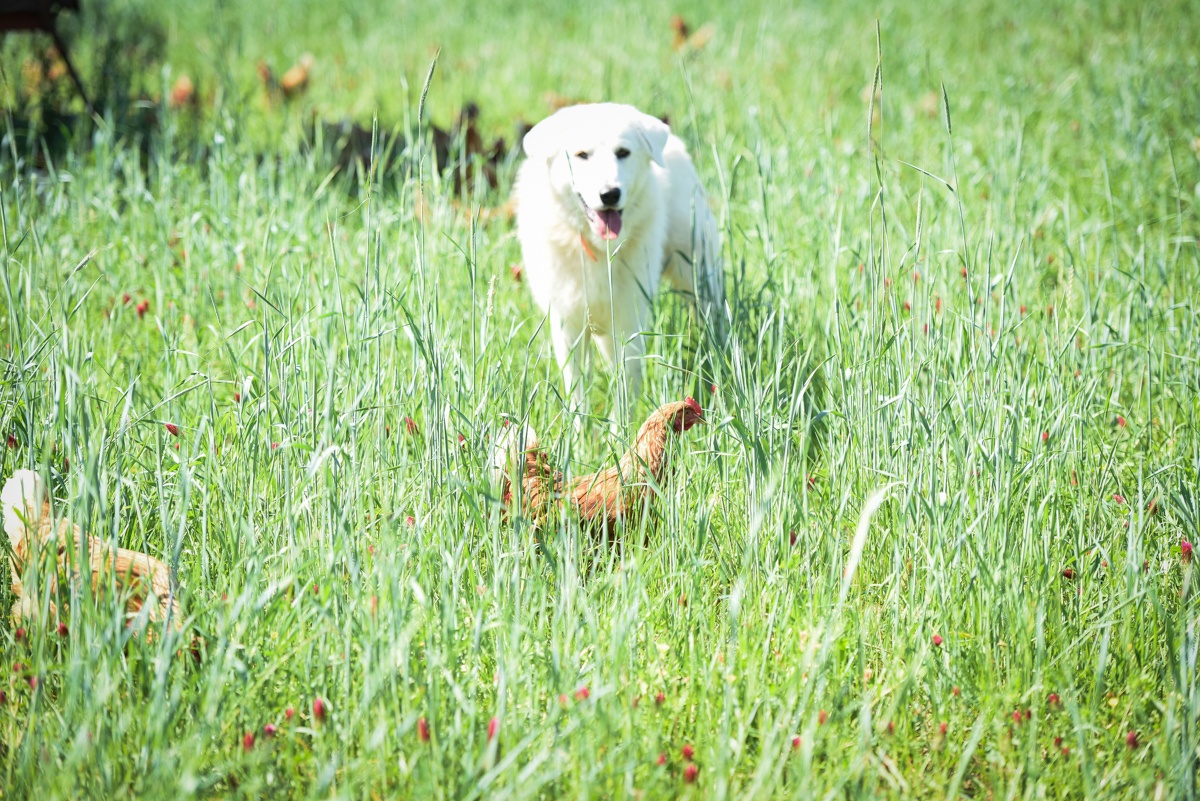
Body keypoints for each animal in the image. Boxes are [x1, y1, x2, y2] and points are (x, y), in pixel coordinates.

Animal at [513, 101, 724, 419]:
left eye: (623, 152)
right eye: (581, 154)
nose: (609, 194)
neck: (598, 250)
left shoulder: (628, 322)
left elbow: (625, 390)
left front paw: (620, 430)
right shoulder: (567, 326)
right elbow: (577, 392)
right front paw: (579, 431)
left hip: (697, 272)